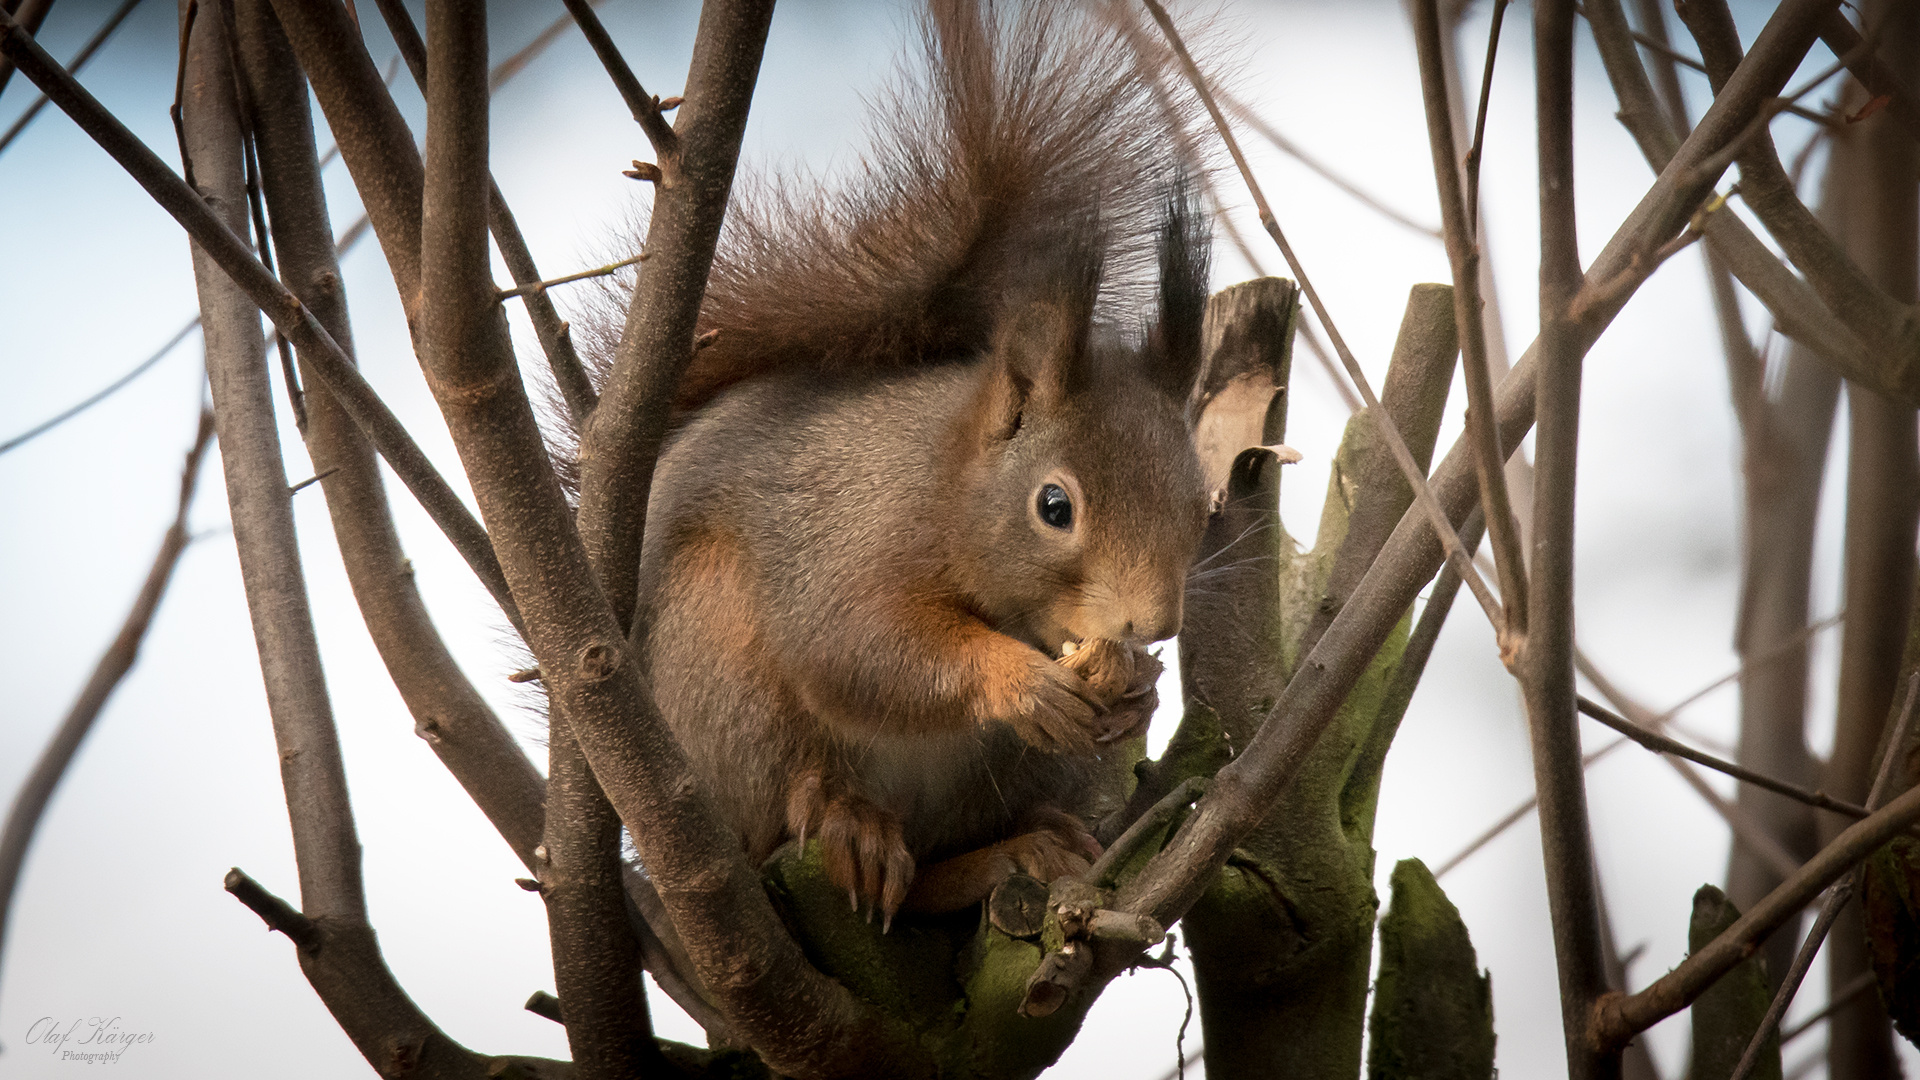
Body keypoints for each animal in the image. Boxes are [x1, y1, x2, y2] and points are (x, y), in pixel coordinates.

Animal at [614, 2, 1213, 926]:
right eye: (1054, 507)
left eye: (1202, 504)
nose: (1151, 624)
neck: (943, 486)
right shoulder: (850, 540)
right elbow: (860, 645)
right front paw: (1020, 683)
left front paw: (1137, 693)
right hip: (725, 680)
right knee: (795, 799)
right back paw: (849, 821)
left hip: (1017, 776)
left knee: (936, 869)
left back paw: (1023, 849)